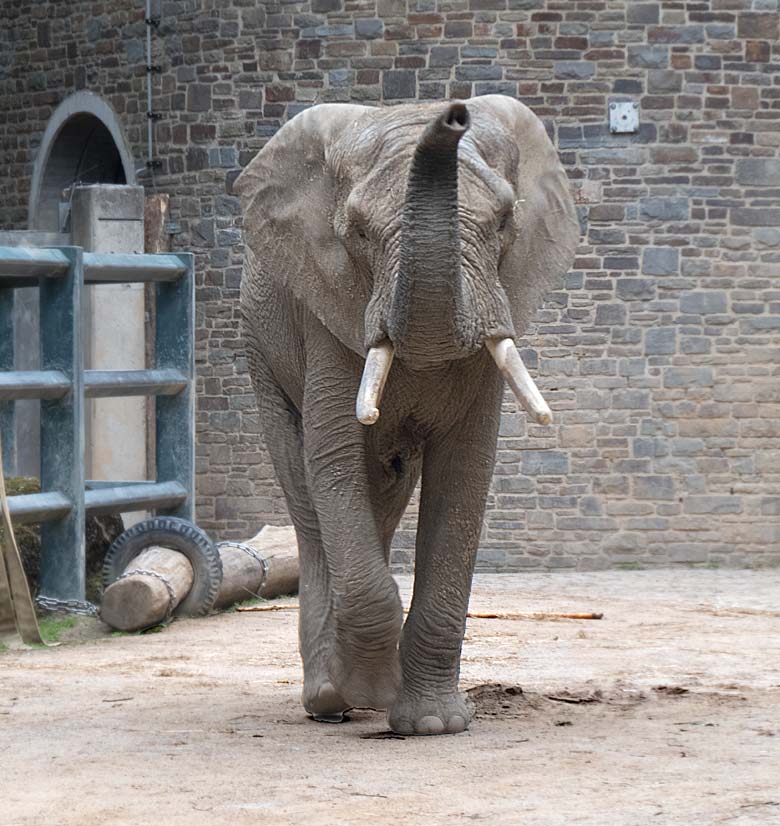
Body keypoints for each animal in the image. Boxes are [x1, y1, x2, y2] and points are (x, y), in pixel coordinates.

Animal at [235, 96, 576, 732]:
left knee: (385, 490)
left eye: (504, 222)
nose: (455, 114)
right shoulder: (328, 312)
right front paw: (370, 691)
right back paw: (328, 700)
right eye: (359, 232)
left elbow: (464, 472)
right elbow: (333, 457)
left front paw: (432, 725)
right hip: (259, 348)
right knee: (308, 499)